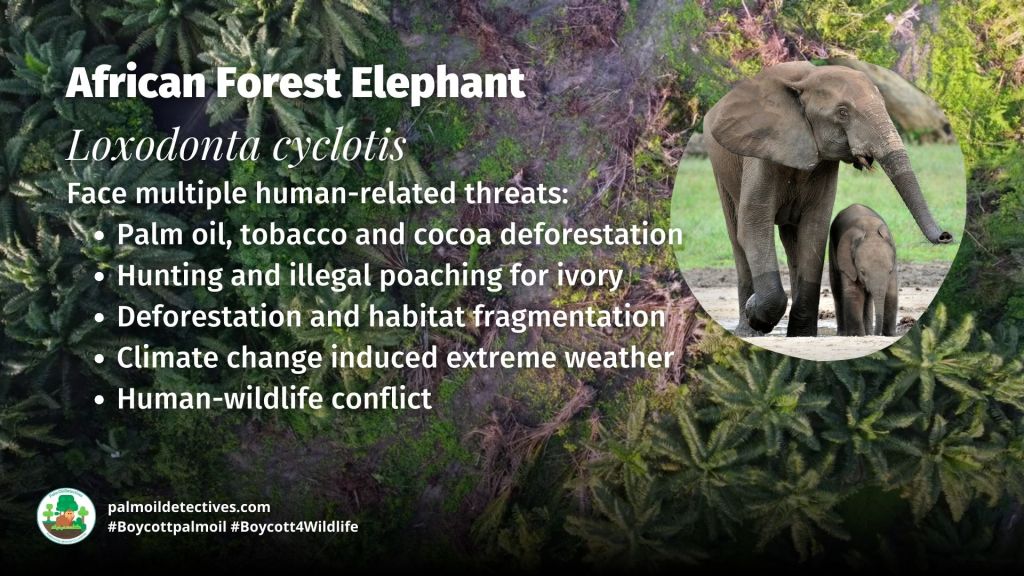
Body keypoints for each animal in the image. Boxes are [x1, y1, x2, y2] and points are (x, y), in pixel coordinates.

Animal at [828, 204, 898, 336]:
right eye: (862, 272)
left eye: (890, 271)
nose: (877, 334)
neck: (870, 229)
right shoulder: (847, 261)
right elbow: (854, 292)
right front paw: (857, 335)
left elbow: (891, 293)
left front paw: (890, 335)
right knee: (837, 290)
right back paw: (843, 333)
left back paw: (868, 332)